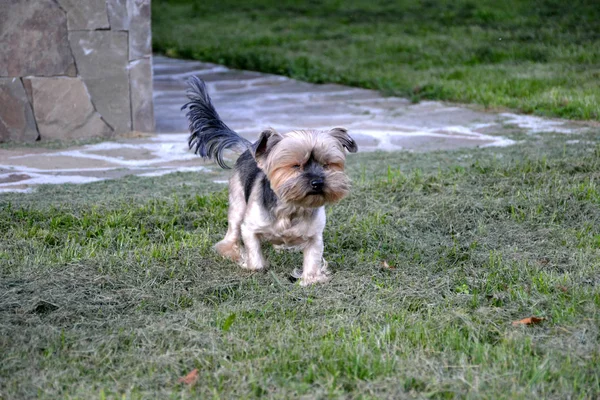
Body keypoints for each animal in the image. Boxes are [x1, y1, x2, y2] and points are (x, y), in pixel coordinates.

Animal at [180, 77, 354, 284]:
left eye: (327, 165)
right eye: (296, 165)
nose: (317, 182)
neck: (291, 208)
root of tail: (250, 148)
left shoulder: (315, 236)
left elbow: (313, 258)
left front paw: (310, 278)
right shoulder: (249, 228)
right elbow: (256, 259)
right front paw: (250, 264)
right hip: (237, 204)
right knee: (232, 231)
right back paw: (230, 250)